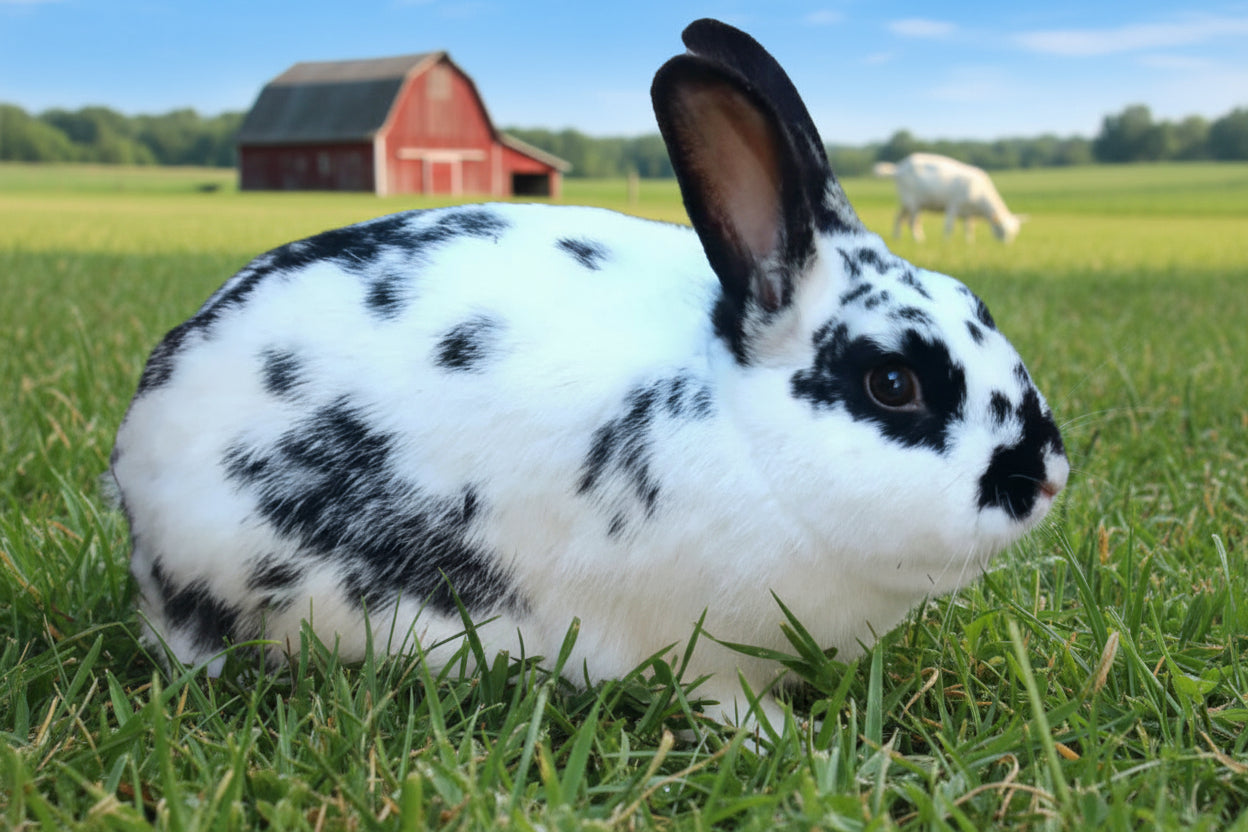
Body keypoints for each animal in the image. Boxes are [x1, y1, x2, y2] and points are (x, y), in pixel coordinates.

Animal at [109, 18, 1068, 730]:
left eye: (975, 302)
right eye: (894, 385)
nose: (1047, 475)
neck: (741, 427)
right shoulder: (695, 649)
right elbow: (723, 701)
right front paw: (784, 739)